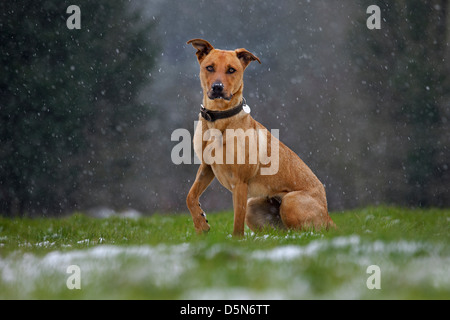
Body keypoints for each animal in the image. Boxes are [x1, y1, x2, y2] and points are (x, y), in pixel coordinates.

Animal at [185, 38, 334, 236]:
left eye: (231, 70)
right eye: (209, 67)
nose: (217, 88)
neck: (219, 119)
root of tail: (328, 216)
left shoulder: (240, 182)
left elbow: (237, 222)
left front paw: (235, 239)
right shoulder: (207, 166)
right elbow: (190, 196)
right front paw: (201, 224)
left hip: (290, 201)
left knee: (306, 232)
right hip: (254, 205)